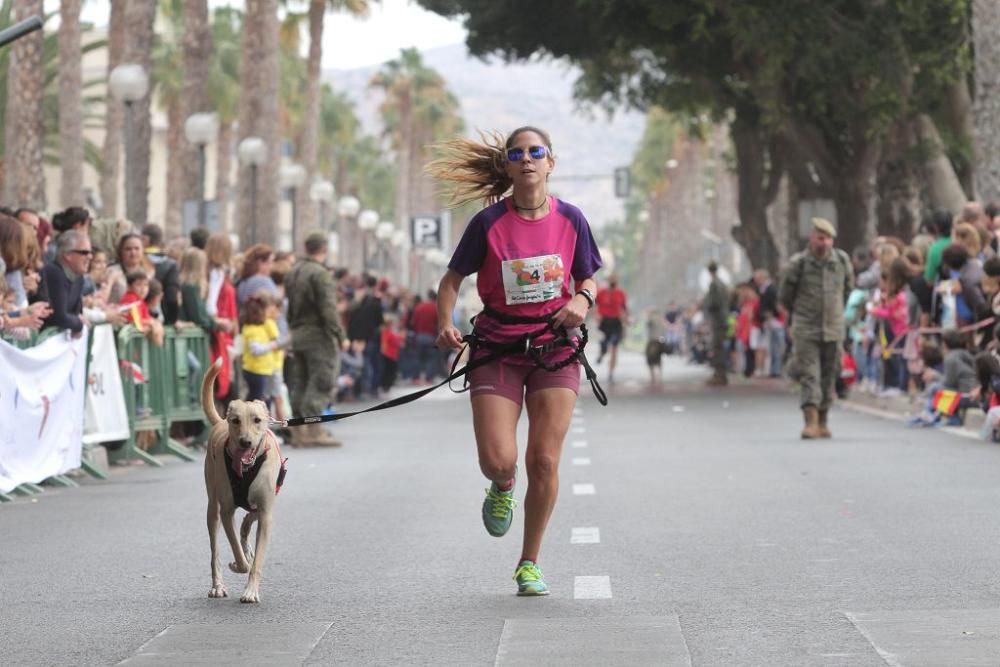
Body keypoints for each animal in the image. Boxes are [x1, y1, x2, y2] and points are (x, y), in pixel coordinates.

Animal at [200, 360, 286, 604]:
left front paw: (250, 590)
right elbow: (239, 555)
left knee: (250, 518)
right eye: (236, 420)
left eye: (257, 420)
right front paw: (239, 564)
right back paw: (217, 585)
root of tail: (220, 421)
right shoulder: (227, 511)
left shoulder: (266, 512)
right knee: (215, 551)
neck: (247, 469)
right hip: (213, 507)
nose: (245, 442)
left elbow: (257, 560)